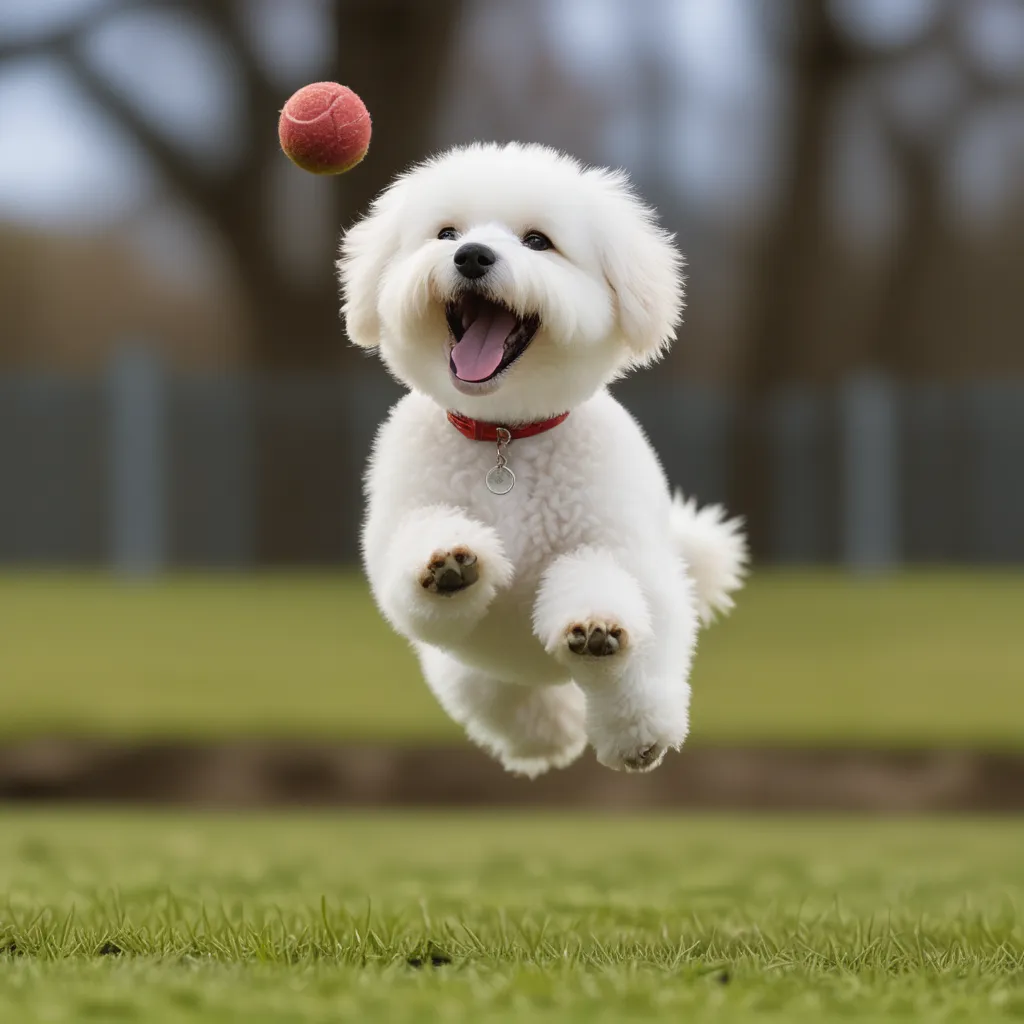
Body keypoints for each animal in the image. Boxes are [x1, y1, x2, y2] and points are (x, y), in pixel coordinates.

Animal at [335, 140, 745, 770]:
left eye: (537, 241)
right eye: (446, 232)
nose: (472, 256)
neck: (507, 435)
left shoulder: (617, 551)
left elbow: (606, 596)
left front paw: (601, 639)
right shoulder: (406, 530)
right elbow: (423, 561)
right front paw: (449, 565)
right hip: (475, 679)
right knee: (513, 706)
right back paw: (550, 732)